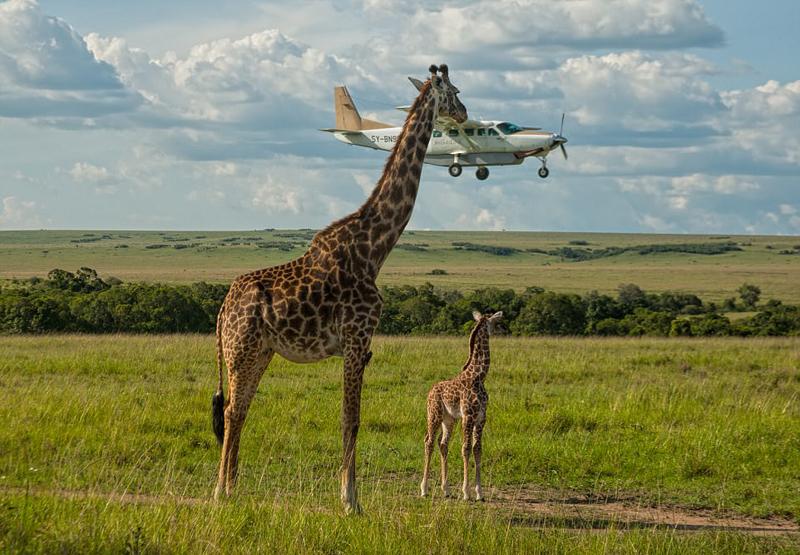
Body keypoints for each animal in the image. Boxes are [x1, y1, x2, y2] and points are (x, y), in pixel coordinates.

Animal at [212, 64, 468, 512]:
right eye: (453, 91)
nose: (465, 113)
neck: (375, 248)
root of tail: (224, 307)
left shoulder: (361, 345)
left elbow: (351, 418)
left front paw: (348, 495)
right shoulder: (355, 337)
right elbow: (352, 419)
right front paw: (351, 501)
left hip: (259, 351)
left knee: (238, 409)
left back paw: (232, 488)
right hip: (239, 349)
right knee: (230, 411)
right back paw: (220, 491)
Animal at [422, 310, 504, 502]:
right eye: (495, 322)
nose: (502, 330)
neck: (479, 377)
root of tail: (430, 391)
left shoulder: (481, 418)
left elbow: (477, 449)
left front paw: (480, 493)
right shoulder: (468, 416)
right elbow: (465, 448)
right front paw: (466, 492)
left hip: (449, 419)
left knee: (442, 443)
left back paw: (445, 489)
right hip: (434, 415)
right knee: (429, 441)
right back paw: (424, 489)